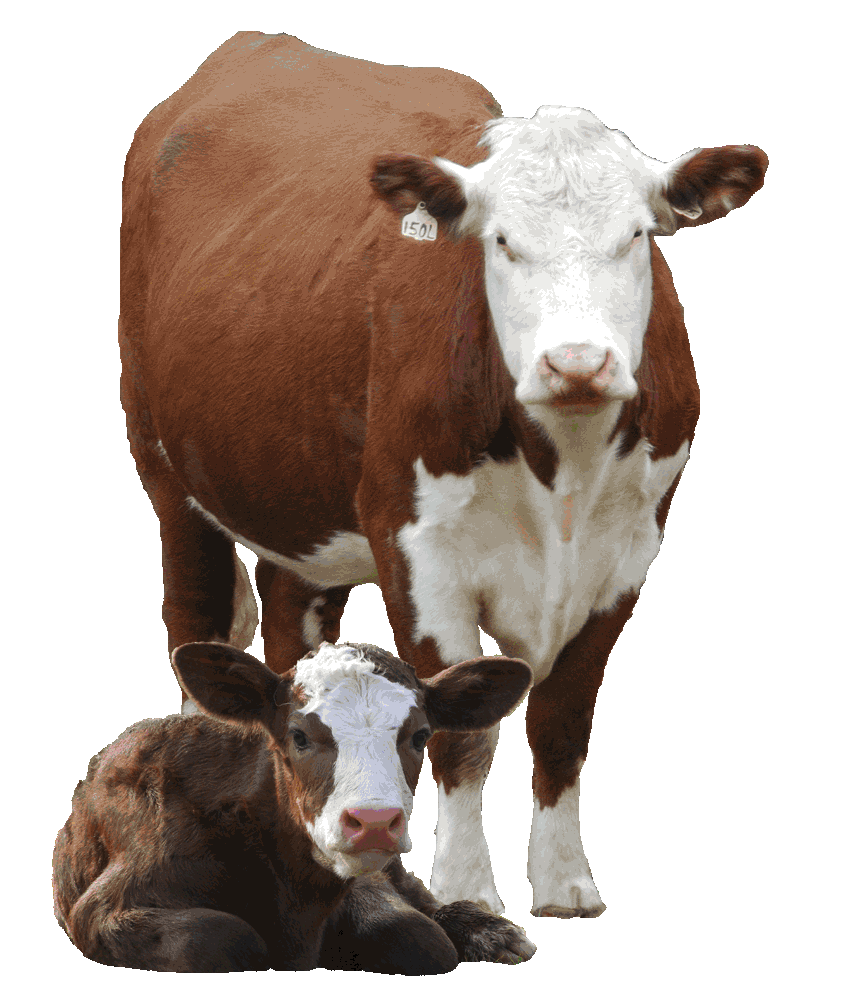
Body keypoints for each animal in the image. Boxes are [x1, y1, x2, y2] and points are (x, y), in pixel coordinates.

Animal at [53, 641, 535, 971]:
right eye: (299, 736)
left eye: (419, 737)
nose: (374, 822)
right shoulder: (105, 907)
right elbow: (220, 935)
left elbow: (417, 934)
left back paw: (496, 933)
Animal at [119, 31, 767, 922]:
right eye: (502, 241)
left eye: (637, 235)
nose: (577, 362)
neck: (563, 472)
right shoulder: (419, 551)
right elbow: (461, 732)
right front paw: (465, 888)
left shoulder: (628, 554)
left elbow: (563, 721)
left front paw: (565, 881)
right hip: (165, 465)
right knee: (200, 619)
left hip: (303, 505)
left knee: (291, 629)